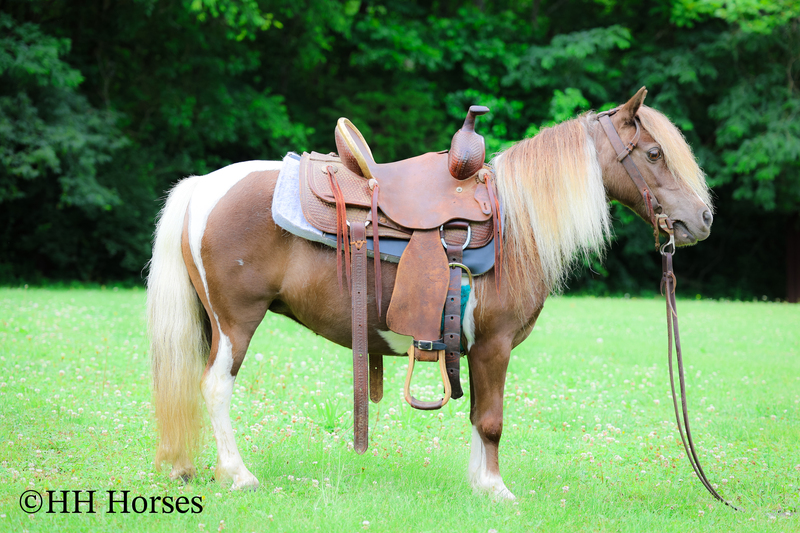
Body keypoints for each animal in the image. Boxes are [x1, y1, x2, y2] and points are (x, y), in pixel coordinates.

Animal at [146, 88, 713, 499]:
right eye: (655, 153)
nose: (702, 219)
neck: (516, 225)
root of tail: (201, 187)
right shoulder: (494, 346)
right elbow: (492, 419)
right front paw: (497, 490)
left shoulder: (476, 349)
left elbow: (478, 415)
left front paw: (479, 484)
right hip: (236, 321)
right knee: (215, 388)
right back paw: (239, 475)